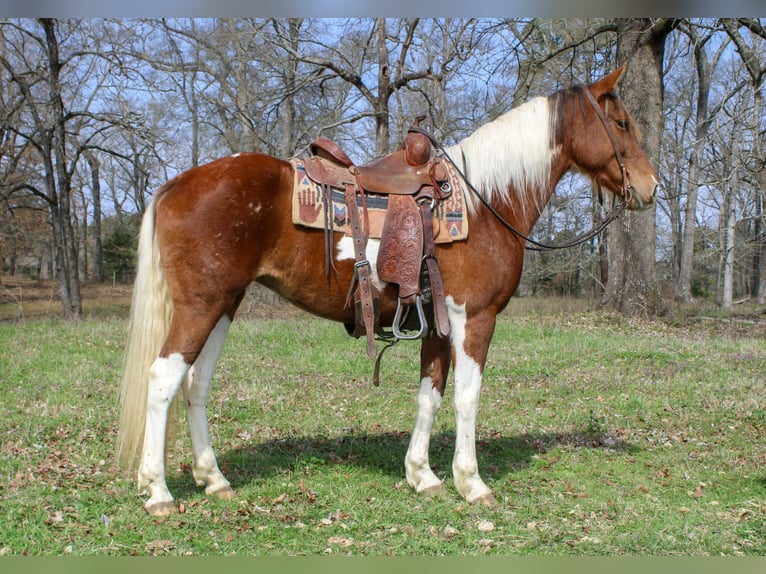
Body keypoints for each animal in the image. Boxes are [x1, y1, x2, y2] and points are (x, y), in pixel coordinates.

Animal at [117, 66, 659, 516]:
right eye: (622, 123)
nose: (651, 187)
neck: (485, 201)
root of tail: (175, 184)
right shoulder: (474, 318)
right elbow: (467, 398)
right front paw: (472, 483)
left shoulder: (439, 324)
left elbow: (429, 397)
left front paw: (423, 476)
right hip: (201, 305)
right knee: (163, 380)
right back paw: (159, 490)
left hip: (225, 305)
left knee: (196, 384)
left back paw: (214, 479)